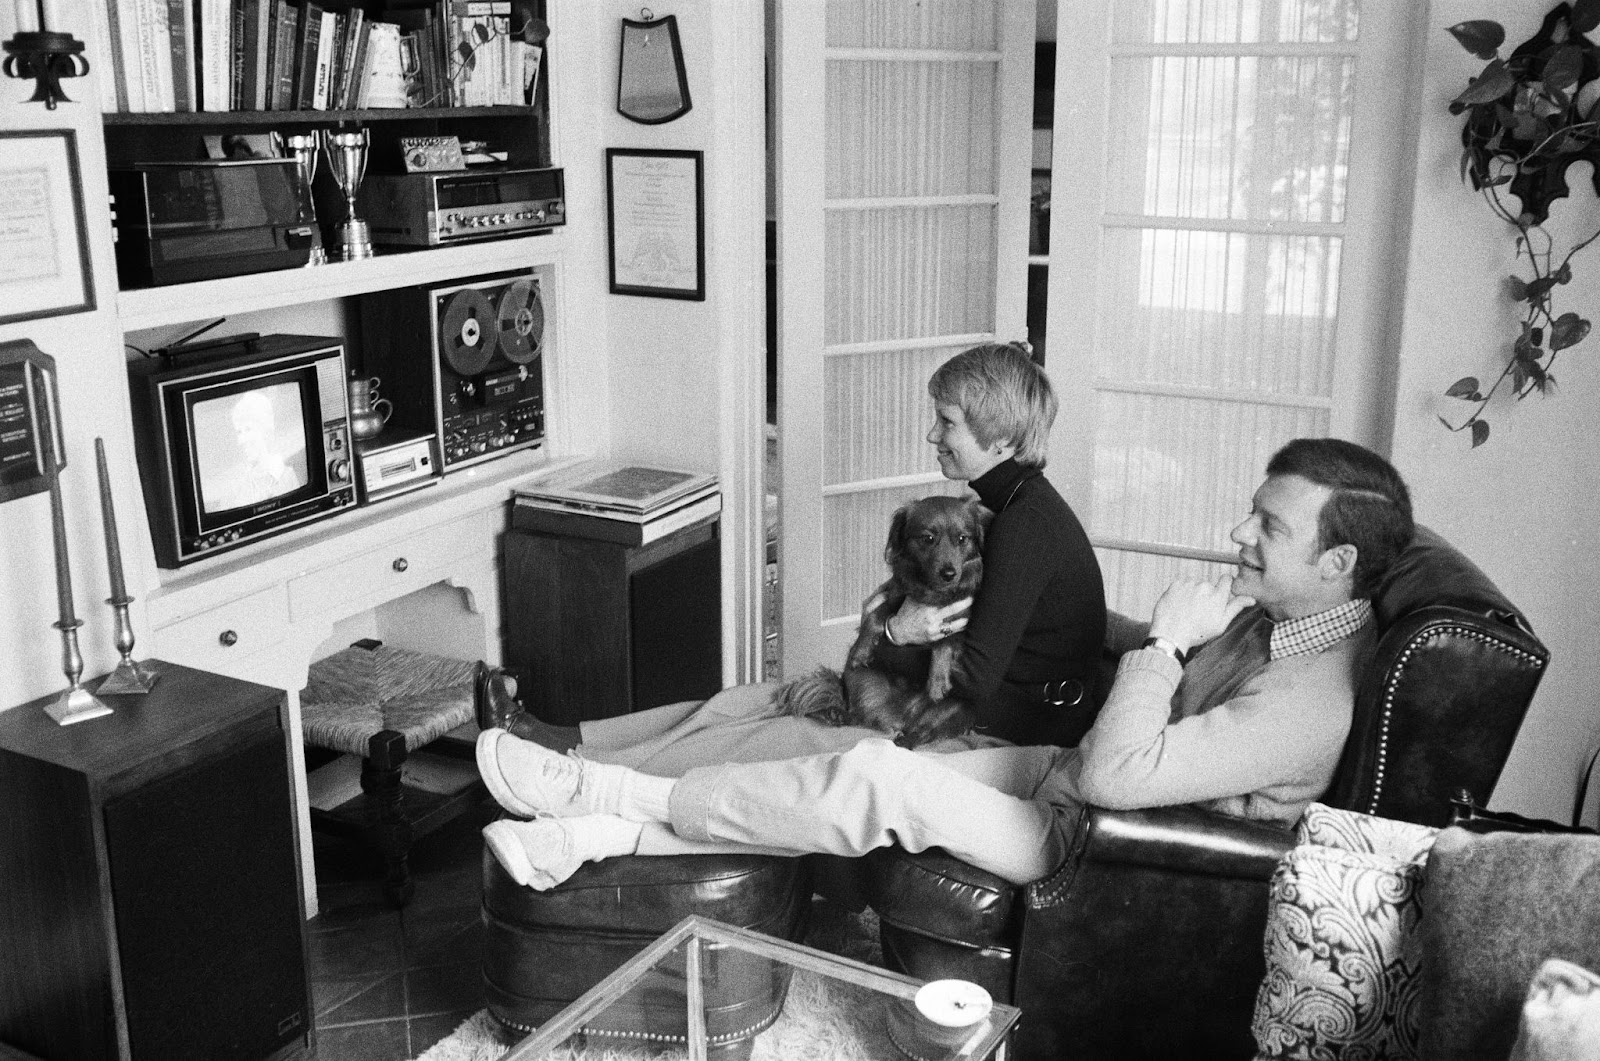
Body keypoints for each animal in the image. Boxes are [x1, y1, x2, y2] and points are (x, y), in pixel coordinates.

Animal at [774, 496, 985, 745]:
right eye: (928, 538)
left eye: (962, 539)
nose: (949, 574)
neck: (932, 593)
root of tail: (900, 719)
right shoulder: (892, 596)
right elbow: (876, 616)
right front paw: (862, 648)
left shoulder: (964, 626)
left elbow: (945, 642)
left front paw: (937, 682)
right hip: (858, 677)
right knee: (856, 714)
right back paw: (837, 714)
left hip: (963, 706)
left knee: (923, 733)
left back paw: (904, 739)